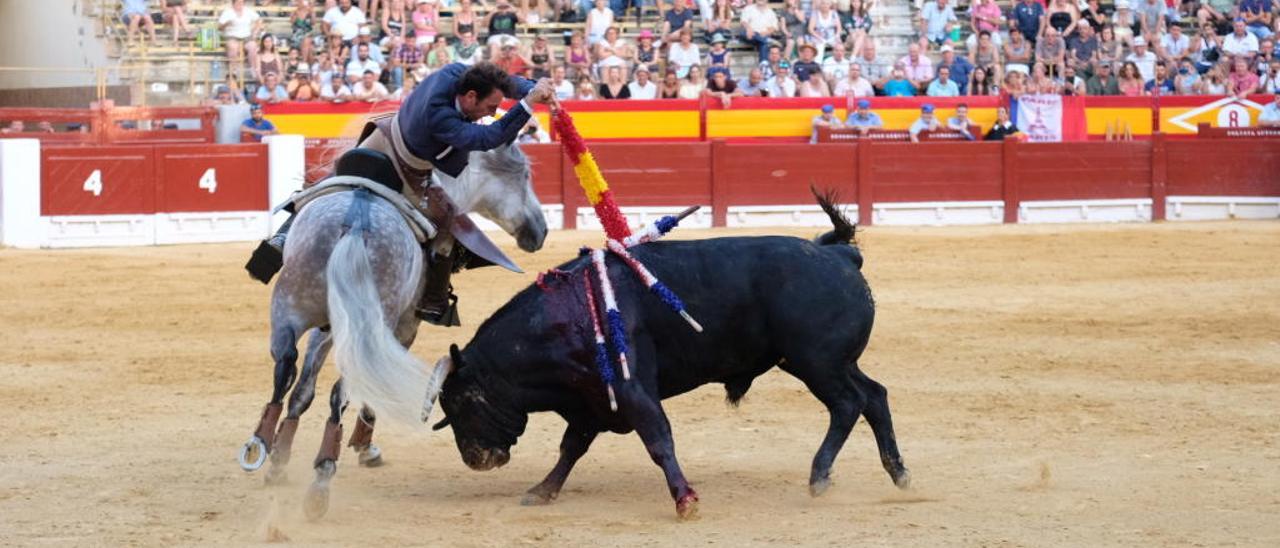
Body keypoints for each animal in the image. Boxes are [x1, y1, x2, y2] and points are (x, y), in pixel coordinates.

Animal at [240, 143, 545, 519]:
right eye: (525, 175)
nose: (540, 231)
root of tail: (355, 223)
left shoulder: (327, 329)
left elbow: (303, 390)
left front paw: (280, 461)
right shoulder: (404, 327)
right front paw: (364, 448)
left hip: (289, 307)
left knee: (285, 367)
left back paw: (262, 444)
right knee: (342, 389)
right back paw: (322, 477)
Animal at [437, 194, 911, 519]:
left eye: (461, 403)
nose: (474, 459)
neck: (566, 314)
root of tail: (839, 253)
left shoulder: (631, 390)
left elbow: (658, 440)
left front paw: (686, 501)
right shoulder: (592, 400)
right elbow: (571, 448)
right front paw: (542, 491)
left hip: (816, 363)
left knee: (848, 403)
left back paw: (819, 476)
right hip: (831, 362)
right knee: (875, 396)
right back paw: (899, 473)